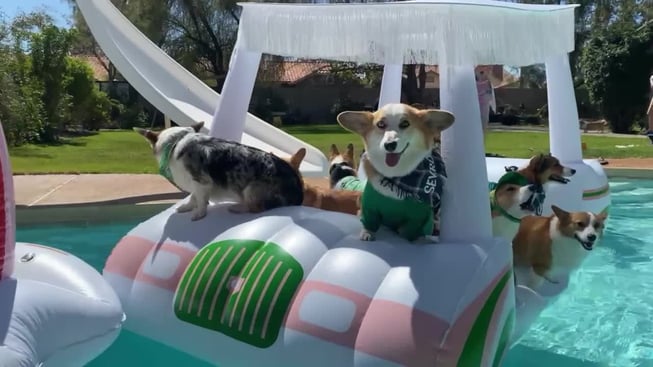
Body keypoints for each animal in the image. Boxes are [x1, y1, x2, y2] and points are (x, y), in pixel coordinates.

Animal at [136, 123, 304, 221]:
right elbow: (193, 197)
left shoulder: (201, 181)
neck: (177, 141)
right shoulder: (195, 183)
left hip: (250, 190)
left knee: (257, 208)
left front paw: (198, 214)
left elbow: (200, 200)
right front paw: (186, 207)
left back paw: (237, 207)